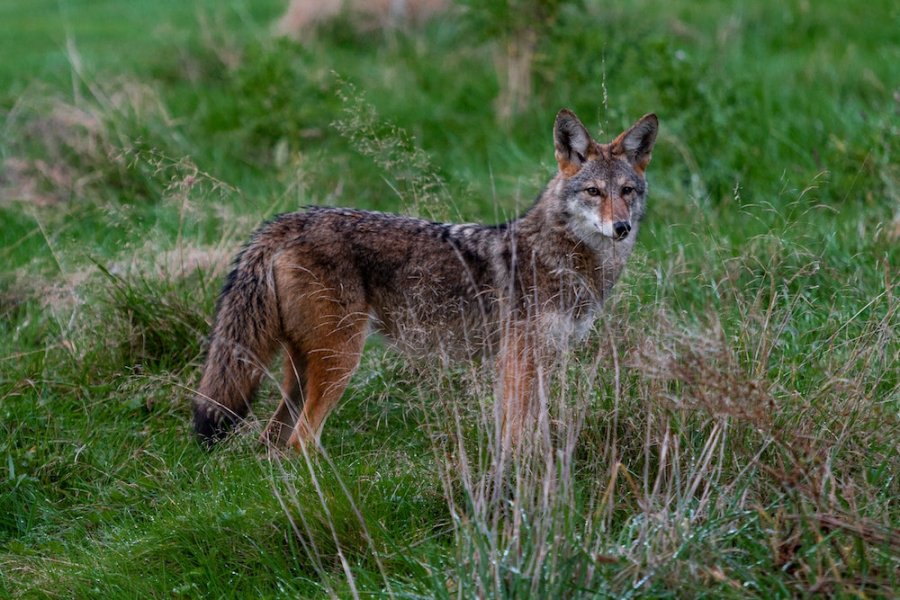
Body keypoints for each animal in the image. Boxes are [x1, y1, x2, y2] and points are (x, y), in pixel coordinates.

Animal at [193, 109, 658, 451]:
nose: (620, 228)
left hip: (305, 369)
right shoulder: (517, 361)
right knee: (300, 441)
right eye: (594, 192)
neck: (562, 259)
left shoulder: (538, 360)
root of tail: (291, 219)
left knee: (273, 442)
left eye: (627, 191)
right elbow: (515, 434)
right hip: (342, 362)